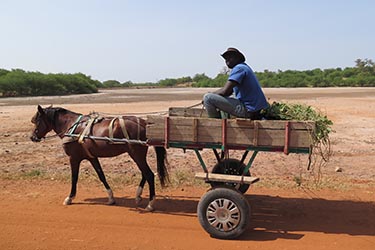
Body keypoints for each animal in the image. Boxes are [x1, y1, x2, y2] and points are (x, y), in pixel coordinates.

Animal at [30, 104, 168, 212]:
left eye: (36, 120)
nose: (32, 137)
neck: (72, 126)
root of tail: (144, 123)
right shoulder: (92, 157)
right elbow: (101, 175)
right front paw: (111, 198)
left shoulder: (73, 158)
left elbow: (74, 178)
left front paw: (70, 198)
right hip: (137, 155)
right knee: (145, 173)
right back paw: (138, 196)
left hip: (136, 154)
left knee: (149, 174)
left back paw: (150, 204)